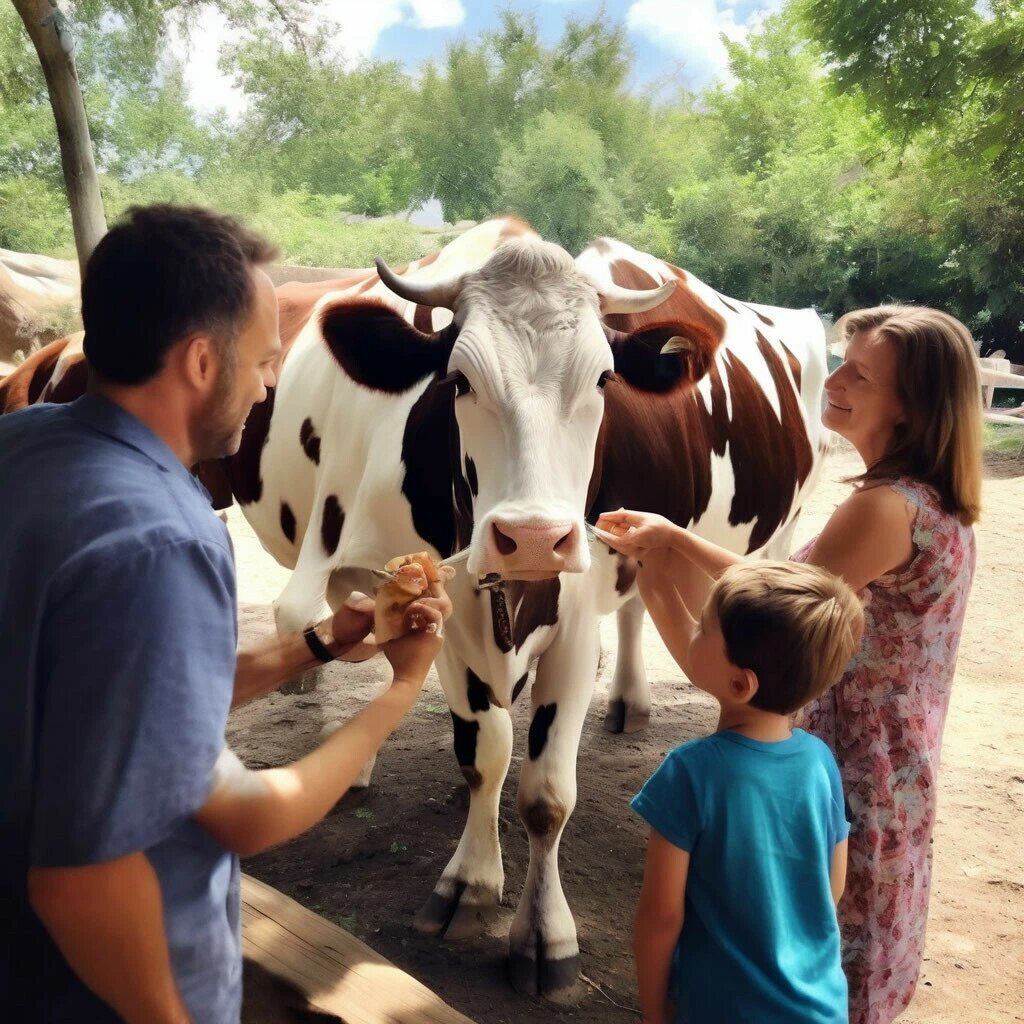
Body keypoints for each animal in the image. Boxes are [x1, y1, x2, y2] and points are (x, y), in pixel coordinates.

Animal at [2, 218, 831, 999]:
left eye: (602, 378)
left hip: (774, 533)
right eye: (458, 381)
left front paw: (544, 934)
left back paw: (646, 702)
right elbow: (483, 750)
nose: (533, 536)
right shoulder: (447, 598)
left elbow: (546, 794)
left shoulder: (572, 611)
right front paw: (469, 881)